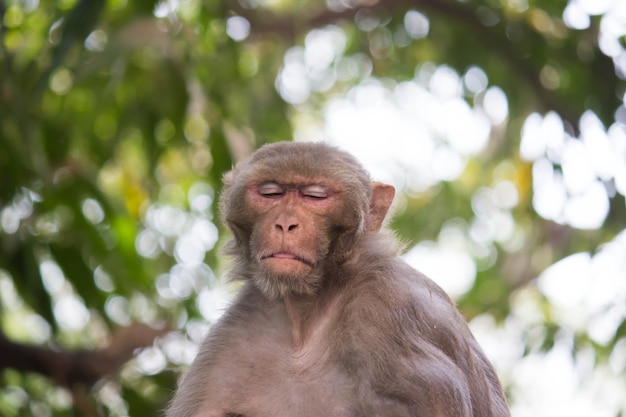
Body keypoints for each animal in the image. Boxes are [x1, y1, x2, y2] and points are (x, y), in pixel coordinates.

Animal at [165, 141, 508, 414]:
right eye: (270, 193)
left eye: (315, 196)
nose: (286, 223)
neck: (308, 315)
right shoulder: (236, 332)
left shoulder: (391, 310)